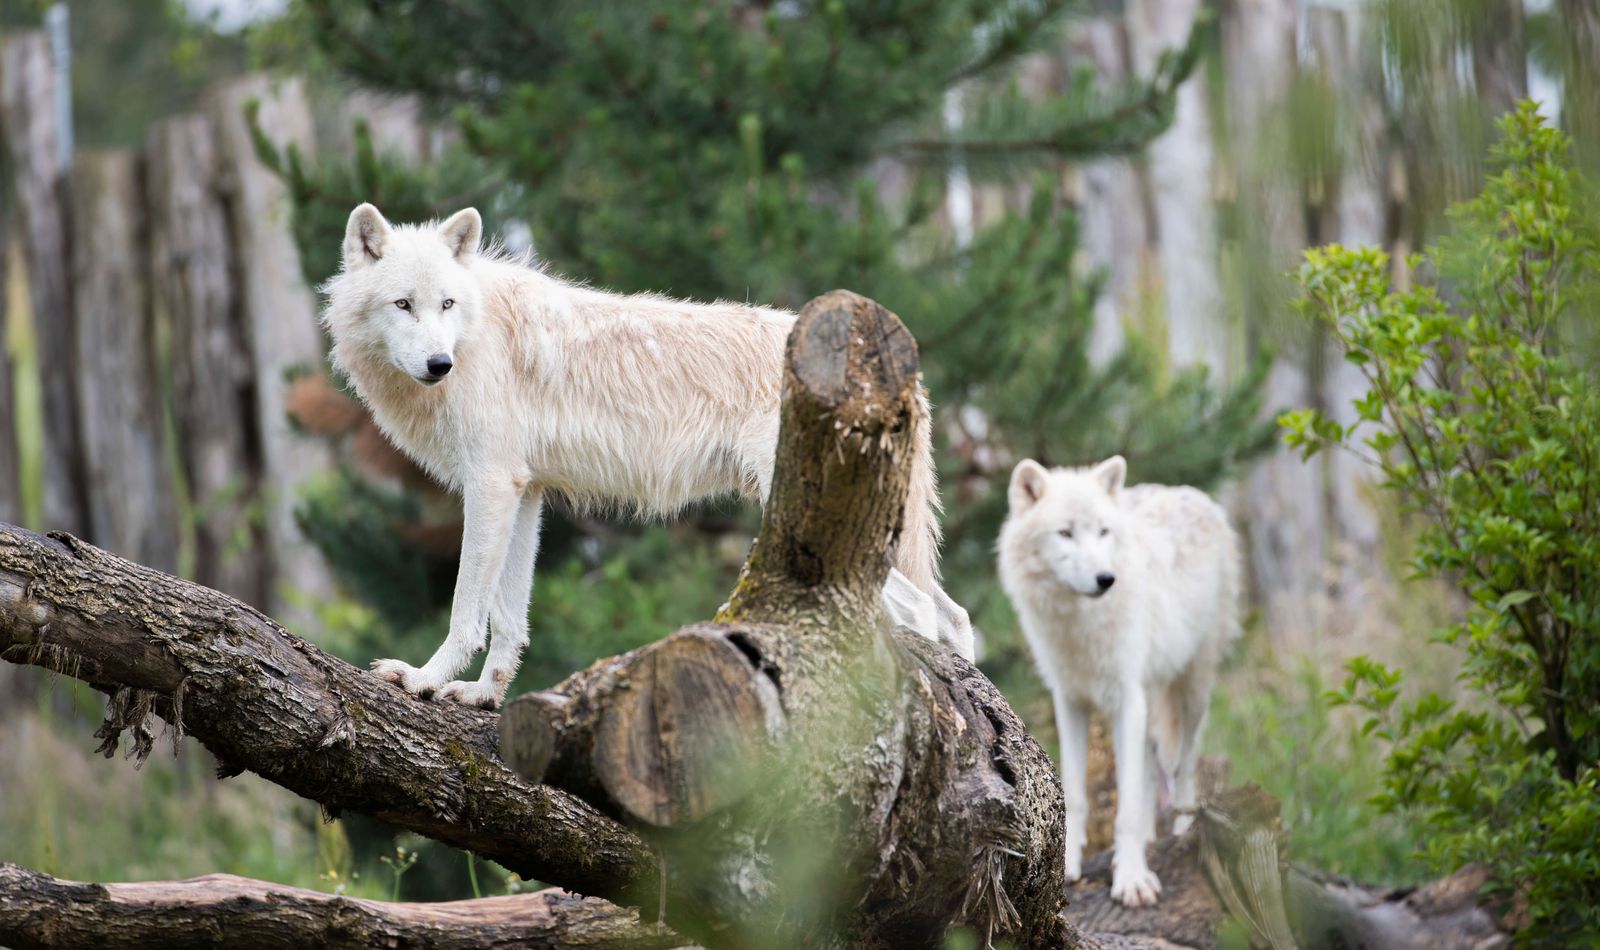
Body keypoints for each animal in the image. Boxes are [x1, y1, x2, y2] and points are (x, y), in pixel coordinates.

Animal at [321, 203, 972, 706]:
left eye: (447, 305)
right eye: (404, 305)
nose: (440, 364)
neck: (477, 337)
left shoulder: (490, 485)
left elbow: (465, 611)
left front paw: (424, 679)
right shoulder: (524, 493)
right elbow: (508, 617)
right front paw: (483, 696)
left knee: (919, 613)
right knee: (956, 617)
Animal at [992, 454, 1241, 908]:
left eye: (1102, 532)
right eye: (1066, 533)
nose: (1106, 579)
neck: (1080, 625)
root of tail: (1188, 492)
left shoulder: (1126, 700)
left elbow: (1124, 808)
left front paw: (1132, 879)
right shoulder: (1070, 700)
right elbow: (1076, 793)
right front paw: (1069, 866)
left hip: (1190, 692)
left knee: (1183, 767)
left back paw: (1182, 831)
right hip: (1148, 699)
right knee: (1148, 772)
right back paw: (1150, 835)